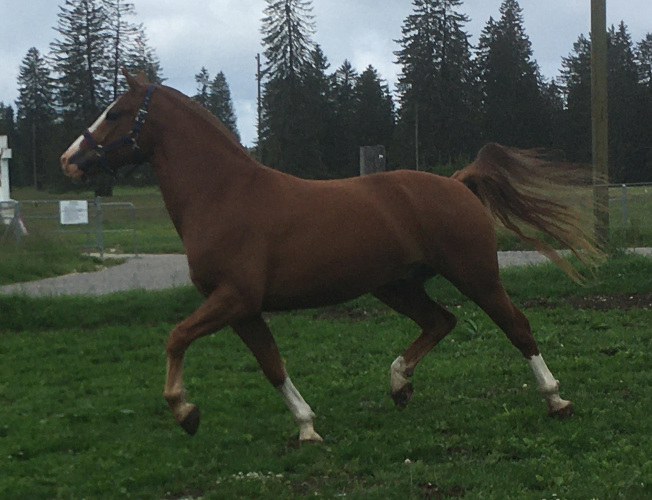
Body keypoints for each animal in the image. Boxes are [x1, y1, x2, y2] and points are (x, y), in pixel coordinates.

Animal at [61, 71, 600, 442]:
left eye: (114, 113)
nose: (70, 161)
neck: (223, 195)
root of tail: (456, 182)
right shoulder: (242, 310)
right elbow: (272, 366)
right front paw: (306, 427)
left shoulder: (233, 299)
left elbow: (176, 338)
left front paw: (185, 411)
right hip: (395, 286)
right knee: (440, 321)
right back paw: (399, 384)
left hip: (476, 275)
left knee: (516, 326)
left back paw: (556, 399)